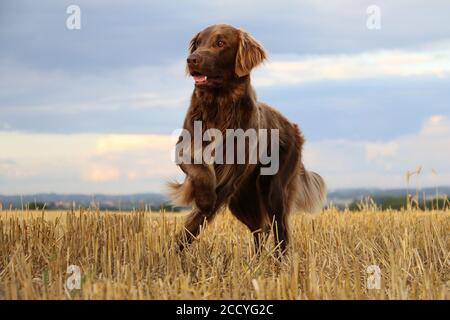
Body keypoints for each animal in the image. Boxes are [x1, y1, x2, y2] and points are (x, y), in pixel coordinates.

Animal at [167, 23, 326, 255]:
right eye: (197, 43)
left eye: (220, 43)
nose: (192, 59)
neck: (220, 105)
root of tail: (292, 126)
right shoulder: (186, 147)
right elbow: (199, 171)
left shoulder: (229, 174)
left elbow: (199, 217)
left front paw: (179, 243)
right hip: (242, 199)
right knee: (261, 228)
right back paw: (257, 260)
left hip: (274, 190)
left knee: (280, 228)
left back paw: (281, 261)